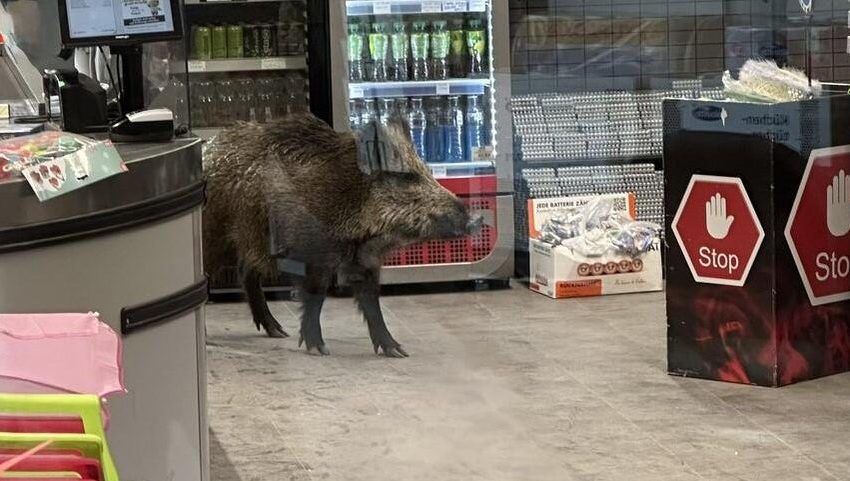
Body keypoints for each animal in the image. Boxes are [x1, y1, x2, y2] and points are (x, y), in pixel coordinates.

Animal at [203, 113, 480, 357]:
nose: (476, 218)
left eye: (429, 172)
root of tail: (207, 151)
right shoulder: (314, 256)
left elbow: (371, 303)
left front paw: (397, 351)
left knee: (246, 272)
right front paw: (318, 349)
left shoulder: (365, 262)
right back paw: (207, 338)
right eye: (406, 177)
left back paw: (278, 331)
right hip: (216, 237)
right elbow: (316, 297)